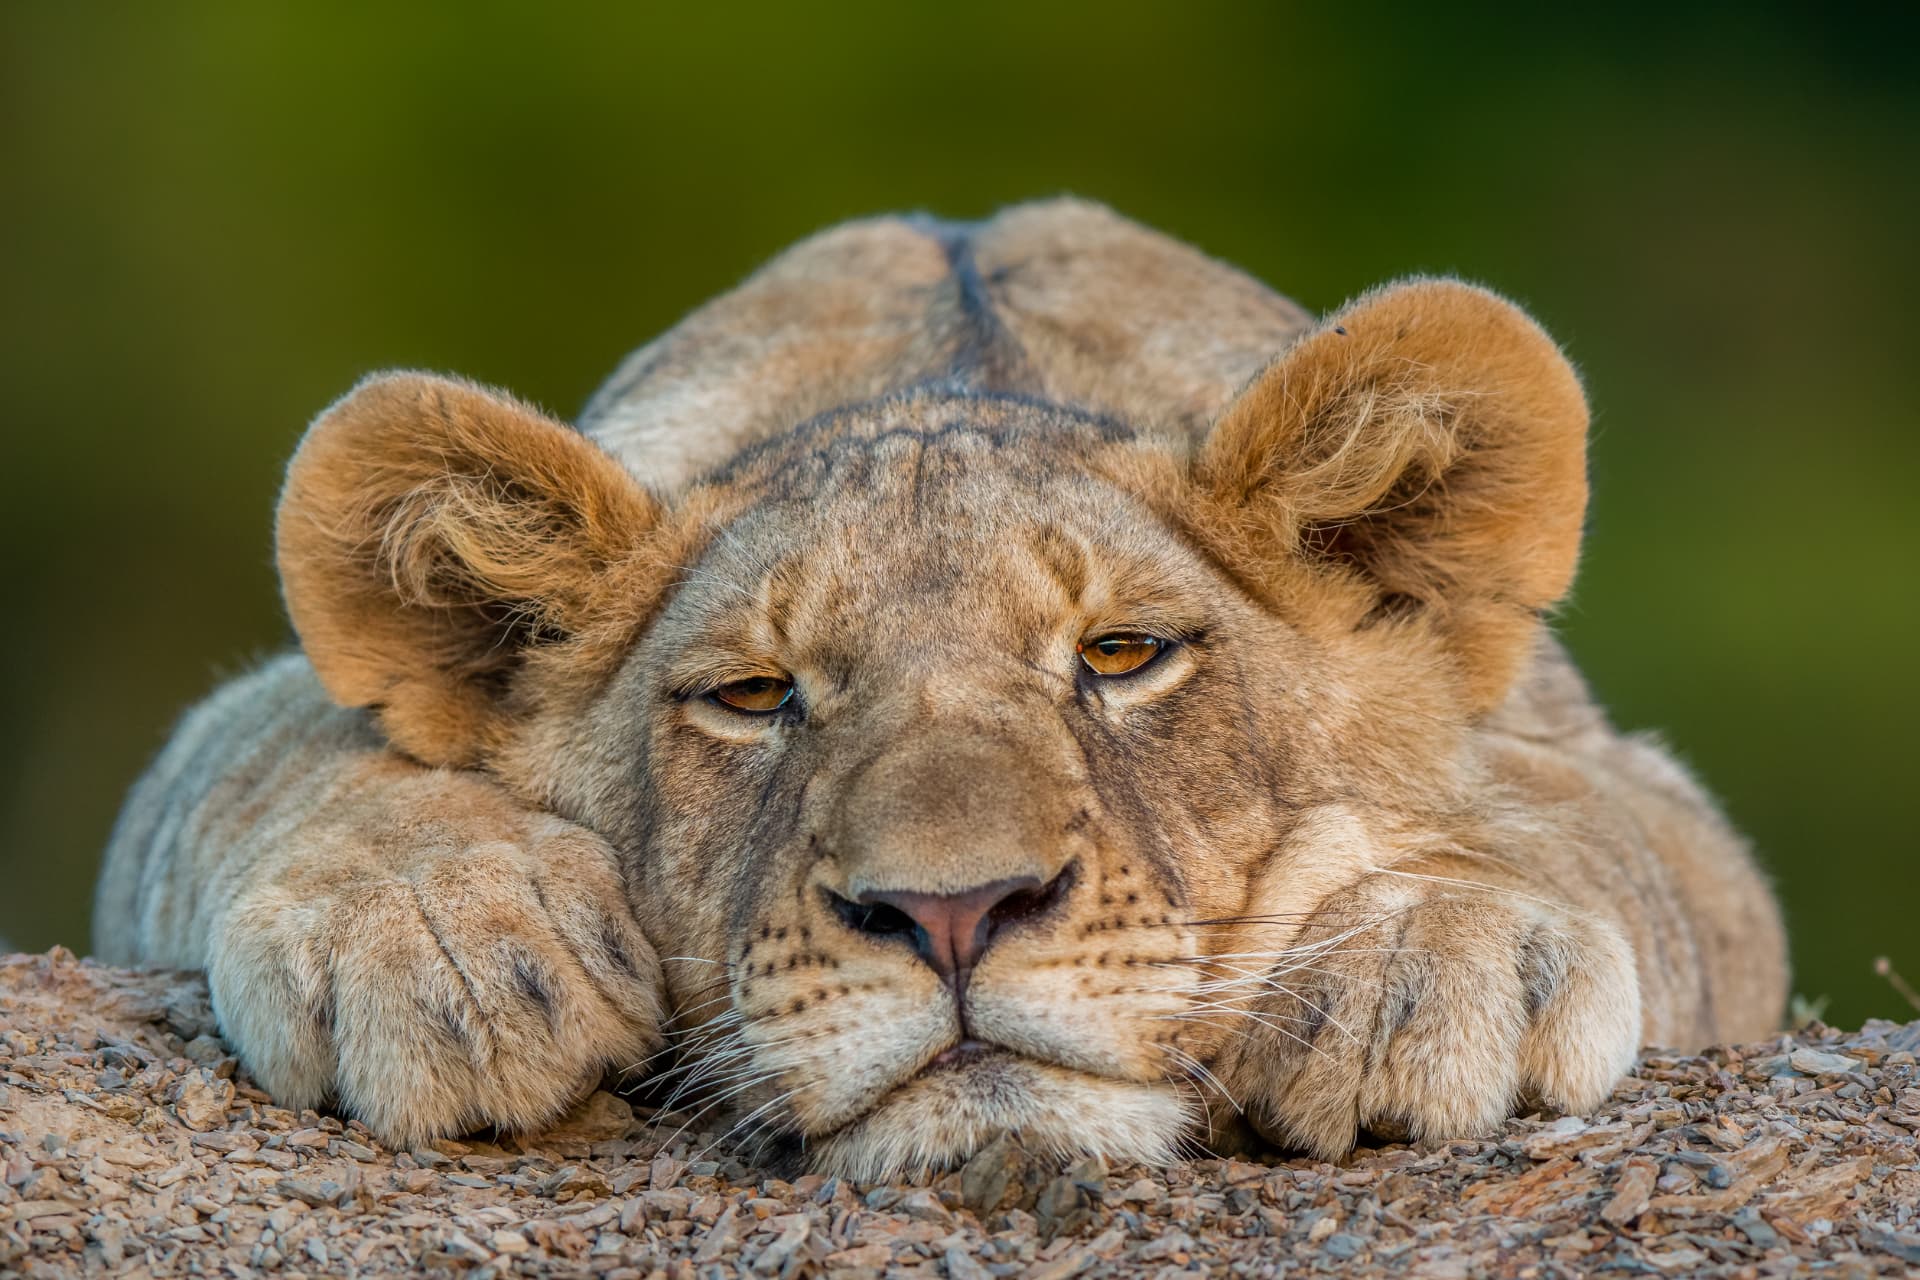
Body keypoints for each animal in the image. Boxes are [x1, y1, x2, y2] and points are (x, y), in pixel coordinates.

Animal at [94, 199, 1787, 1178]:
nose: (954, 916)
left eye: (1119, 656)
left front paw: (1422, 965)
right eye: (754, 694)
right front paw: (442, 947)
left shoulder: (1620, 772)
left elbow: (1566, 824)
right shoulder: (223, 751)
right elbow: (284, 760)